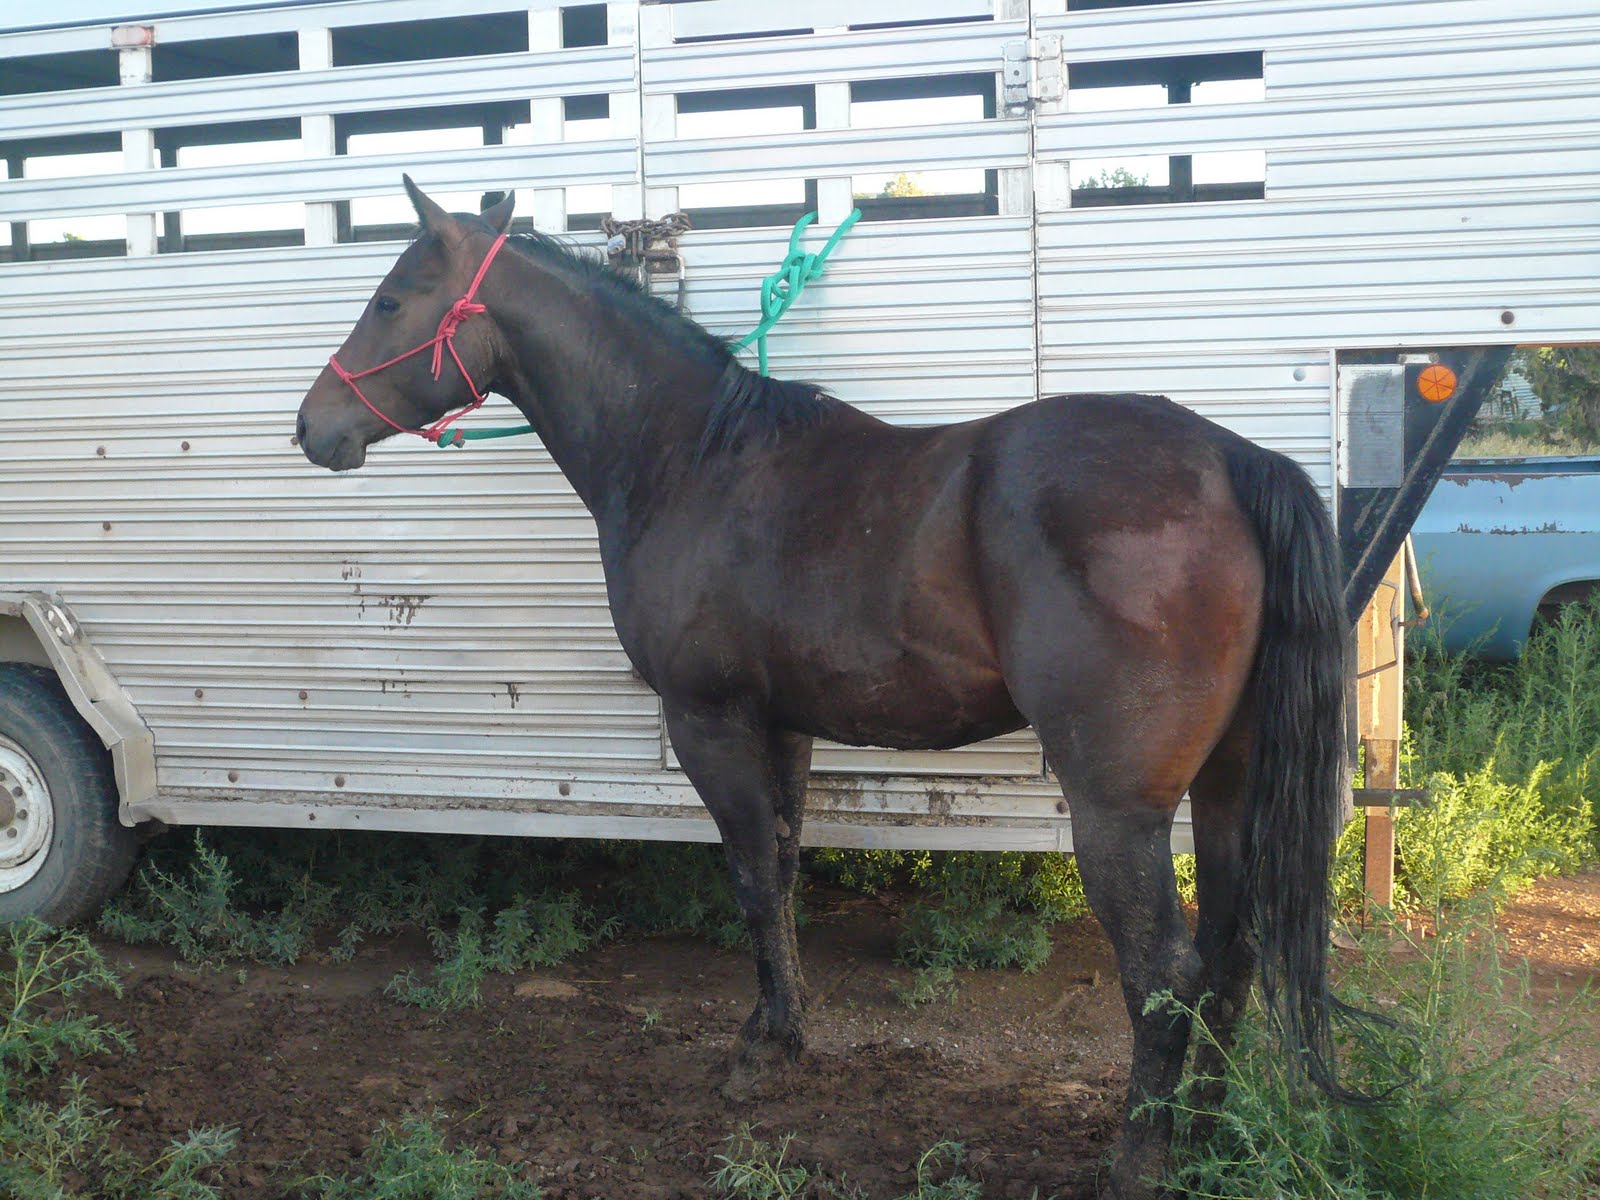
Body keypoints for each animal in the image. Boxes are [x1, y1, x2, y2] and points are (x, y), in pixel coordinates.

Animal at [296, 178, 1357, 1199]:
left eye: (390, 298)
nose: (312, 426)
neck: (691, 457)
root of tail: (1229, 461)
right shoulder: (785, 726)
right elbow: (784, 869)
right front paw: (785, 1032)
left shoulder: (709, 720)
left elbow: (751, 876)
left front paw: (757, 1052)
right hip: (1229, 782)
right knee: (1230, 953)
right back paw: (1208, 1137)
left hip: (1117, 808)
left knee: (1164, 971)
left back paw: (1142, 1158)